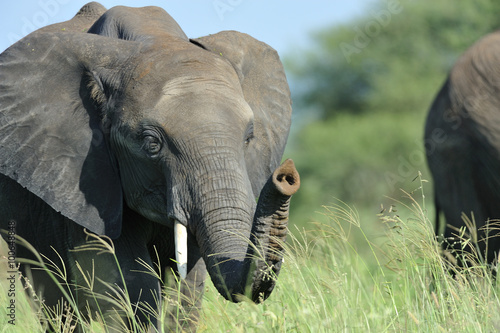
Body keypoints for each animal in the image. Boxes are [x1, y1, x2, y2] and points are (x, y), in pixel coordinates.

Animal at [0, 1, 298, 330]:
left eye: (249, 138)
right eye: (152, 144)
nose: (286, 176)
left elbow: (187, 288)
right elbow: (129, 282)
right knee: (52, 299)